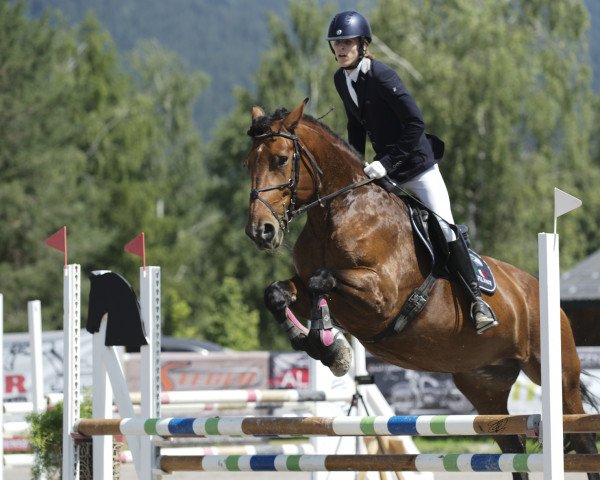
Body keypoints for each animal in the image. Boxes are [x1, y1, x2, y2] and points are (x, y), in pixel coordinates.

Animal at [244, 99, 600, 478]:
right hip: (484, 385)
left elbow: (320, 281)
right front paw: (319, 345)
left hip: (558, 374)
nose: (260, 231)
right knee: (513, 449)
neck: (339, 212)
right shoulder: (323, 291)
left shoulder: (380, 297)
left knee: (583, 438)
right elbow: (279, 292)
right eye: (248, 163)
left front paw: (330, 346)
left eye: (281, 159)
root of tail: (537, 290)